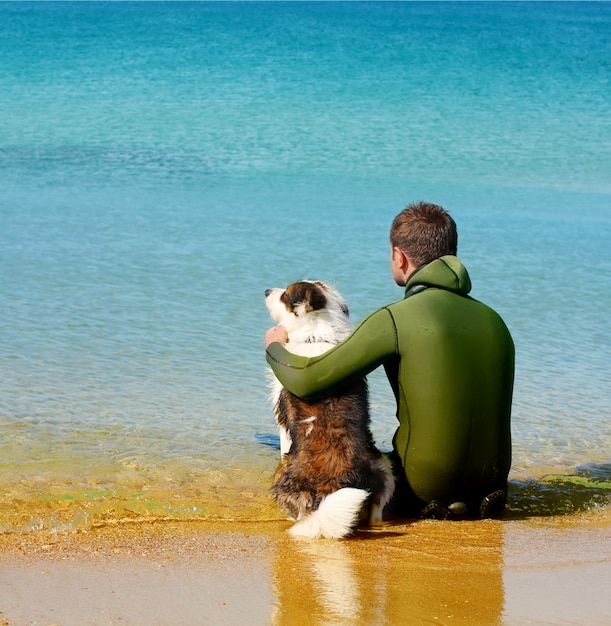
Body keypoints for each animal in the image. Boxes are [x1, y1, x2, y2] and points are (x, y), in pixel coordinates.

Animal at [266, 280, 394, 536]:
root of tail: (333, 486)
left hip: (282, 474)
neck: (315, 337)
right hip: (384, 468)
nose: (265, 291)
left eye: (284, 295)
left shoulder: (282, 417)